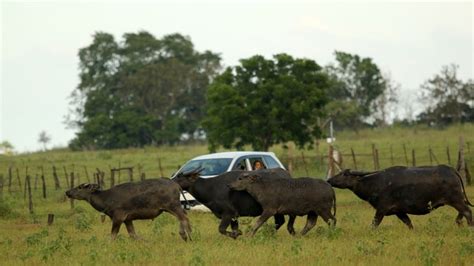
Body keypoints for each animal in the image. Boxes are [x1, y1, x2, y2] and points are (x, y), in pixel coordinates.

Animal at [328, 164, 472, 229]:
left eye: (345, 174)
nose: (329, 180)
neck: (376, 184)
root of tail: (452, 170)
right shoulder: (399, 212)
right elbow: (409, 223)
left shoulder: (381, 209)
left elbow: (374, 224)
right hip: (458, 200)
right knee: (462, 212)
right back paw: (459, 223)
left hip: (455, 199)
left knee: (467, 211)